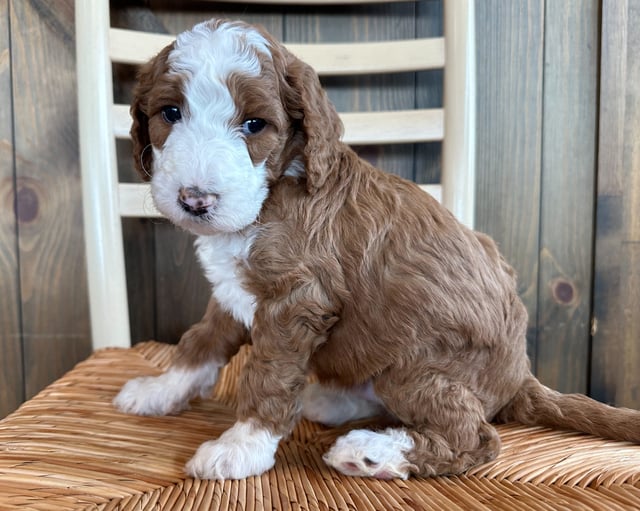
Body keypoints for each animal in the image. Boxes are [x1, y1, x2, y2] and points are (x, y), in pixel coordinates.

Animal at [114, 19, 640, 480]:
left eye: (255, 124)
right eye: (170, 114)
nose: (194, 200)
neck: (275, 191)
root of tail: (520, 378)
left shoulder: (296, 300)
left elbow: (268, 374)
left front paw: (241, 447)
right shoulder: (233, 291)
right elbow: (200, 342)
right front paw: (161, 390)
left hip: (418, 367)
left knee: (475, 438)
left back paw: (371, 453)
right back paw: (332, 404)